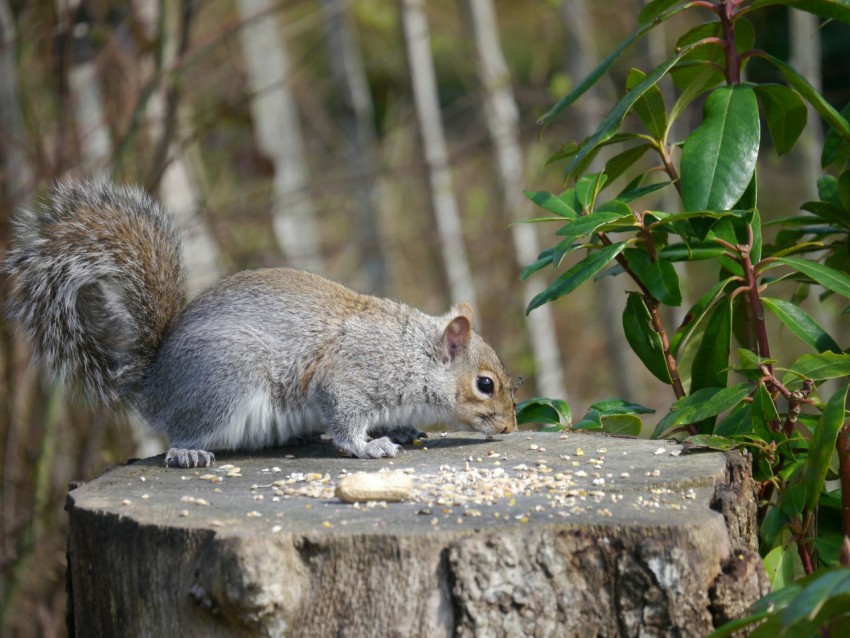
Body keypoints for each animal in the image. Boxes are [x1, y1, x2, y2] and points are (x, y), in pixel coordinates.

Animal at [5, 177, 518, 468]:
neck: (414, 353)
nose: (511, 428)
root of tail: (154, 386)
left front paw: (401, 430)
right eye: (485, 384)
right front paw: (370, 447)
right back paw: (187, 451)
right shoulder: (354, 372)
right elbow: (345, 417)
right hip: (227, 377)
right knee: (185, 430)